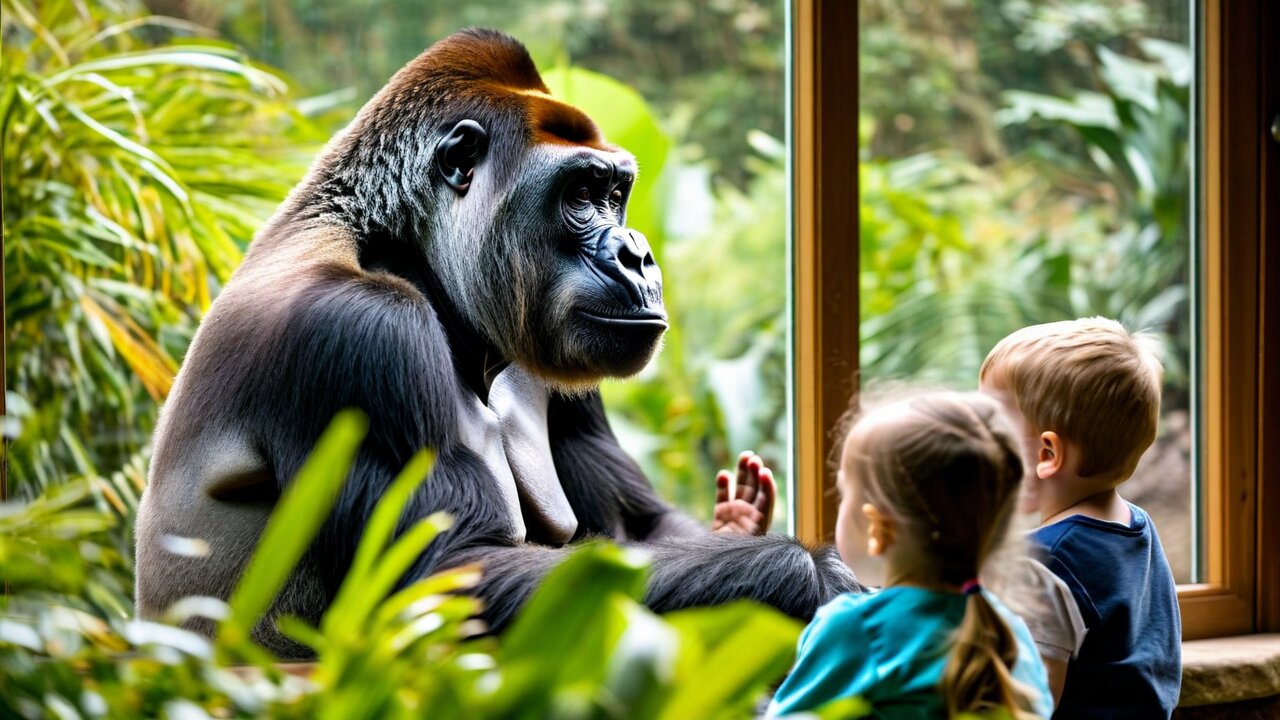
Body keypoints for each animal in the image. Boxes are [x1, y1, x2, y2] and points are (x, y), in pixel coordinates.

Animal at [135, 28, 862, 658]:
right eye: (581, 194)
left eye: (617, 193)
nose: (637, 255)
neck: (402, 251)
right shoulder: (358, 333)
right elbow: (447, 576)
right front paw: (812, 575)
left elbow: (642, 528)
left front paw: (742, 528)